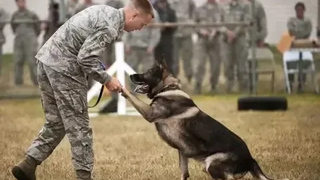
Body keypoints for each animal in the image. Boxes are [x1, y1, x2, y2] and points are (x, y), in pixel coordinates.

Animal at [120, 59, 288, 180]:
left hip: (211, 165)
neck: (167, 88)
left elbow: (131, 95)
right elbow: (184, 173)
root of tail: (250, 159)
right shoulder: (183, 152)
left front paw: (120, 87)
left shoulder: (149, 113)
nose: (131, 76)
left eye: (148, 71)